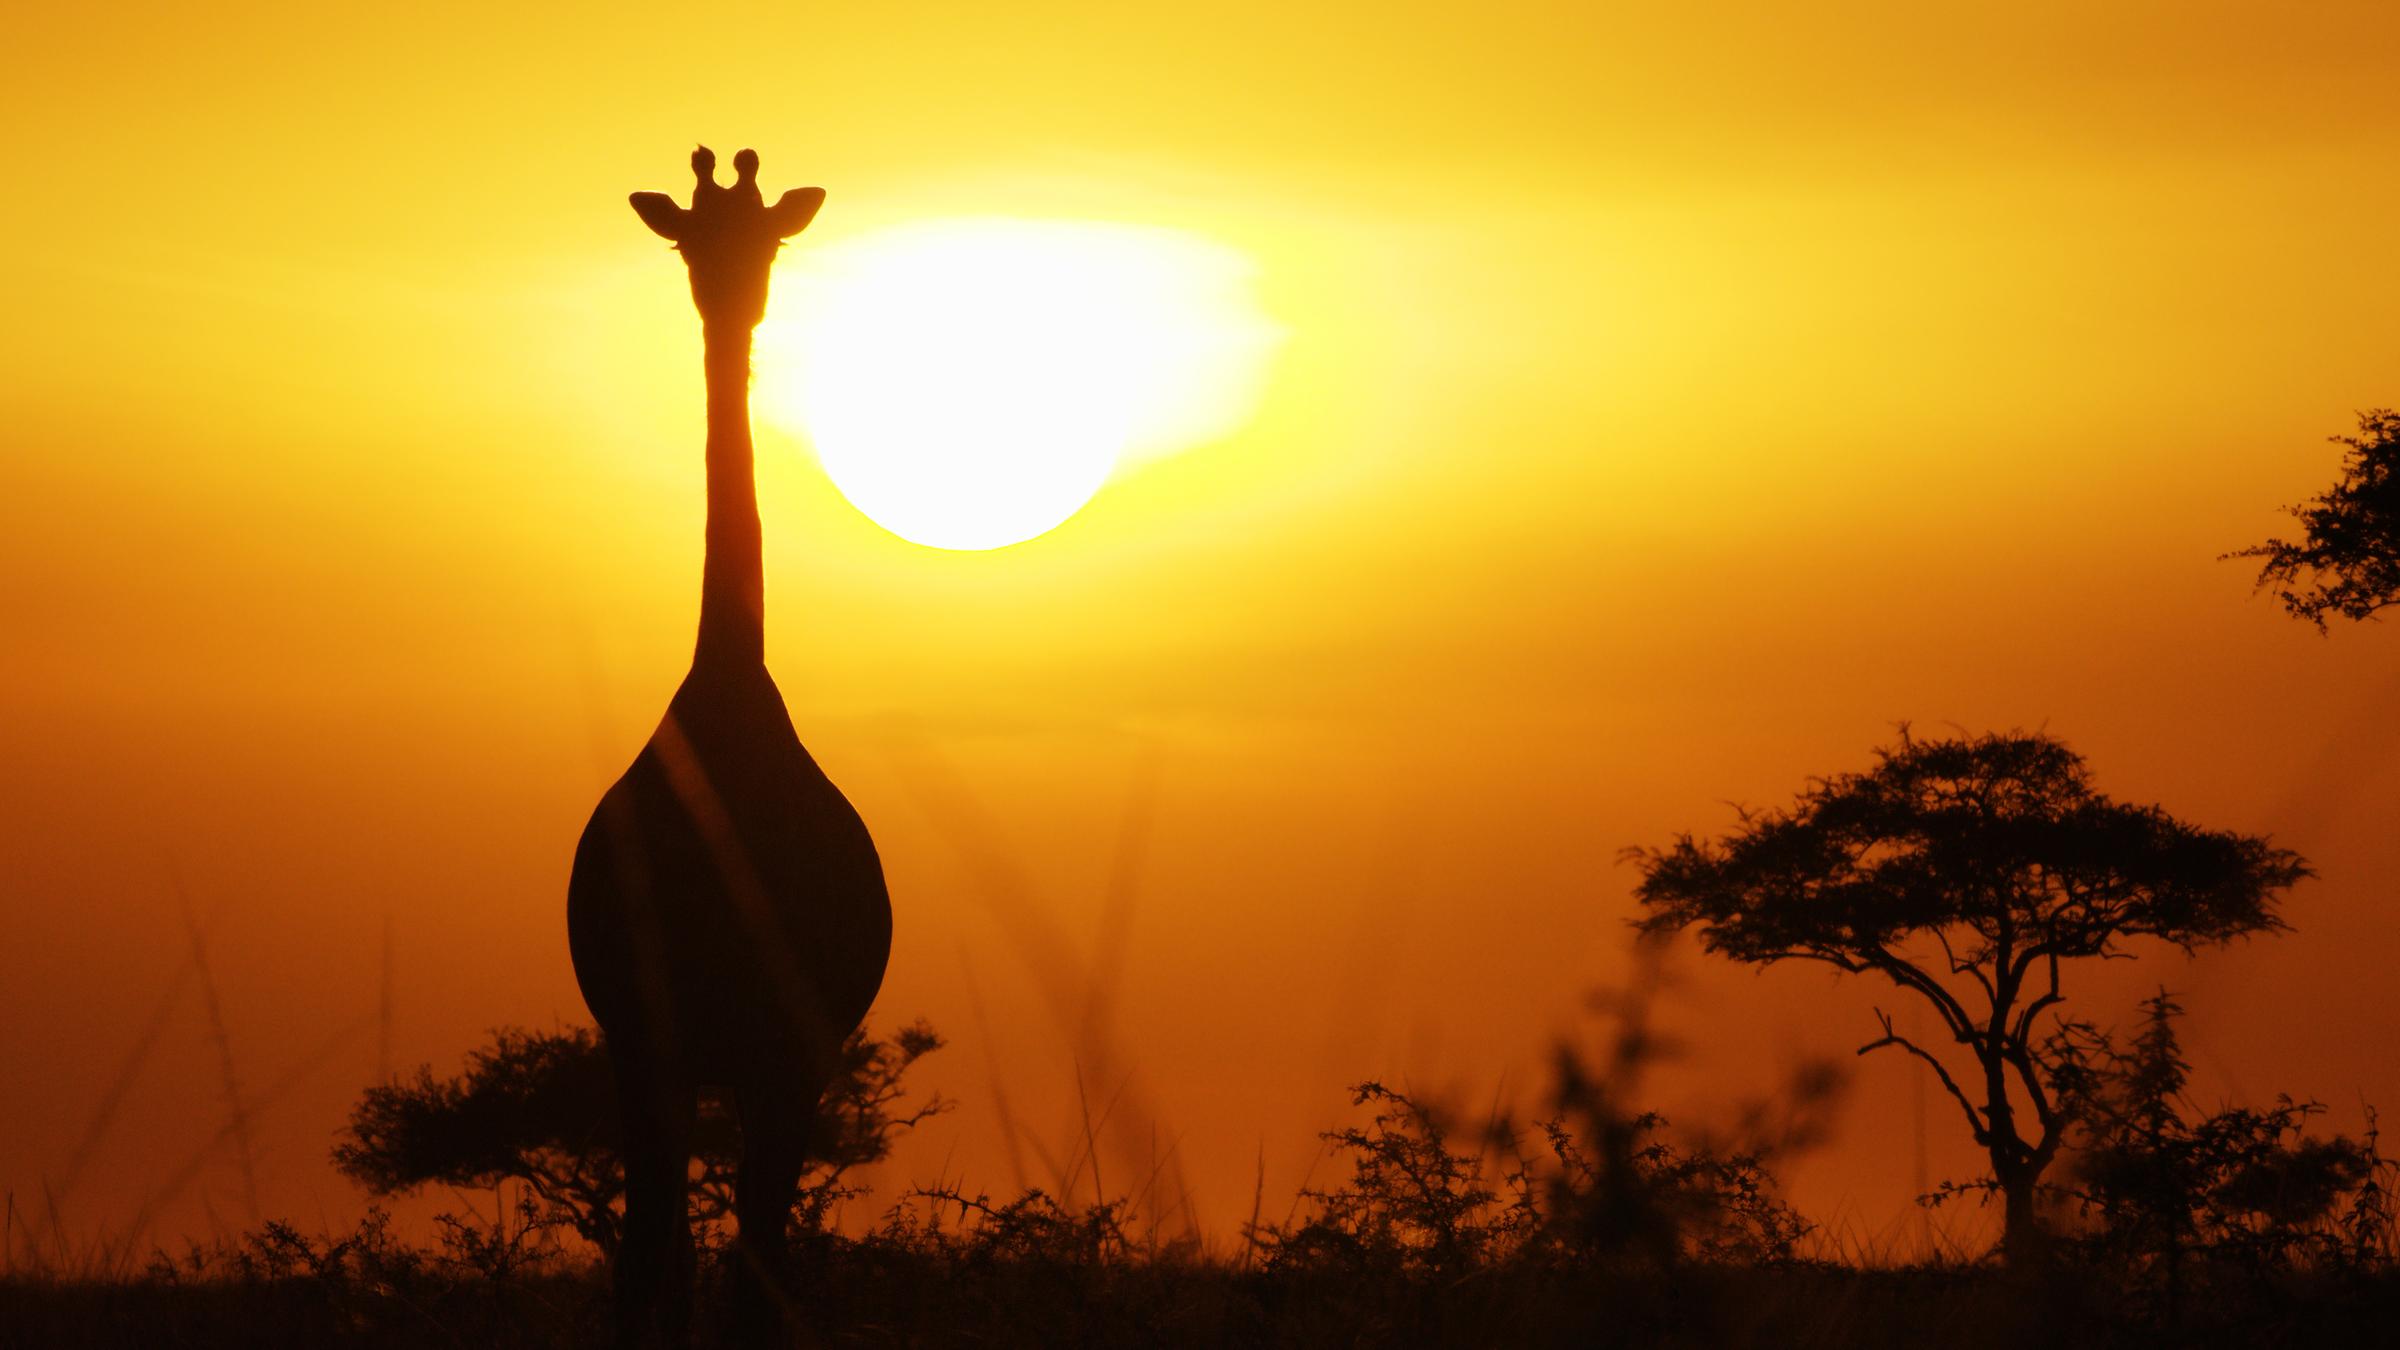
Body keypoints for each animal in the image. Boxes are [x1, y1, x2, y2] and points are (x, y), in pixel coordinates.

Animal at [567, 146, 892, 1348]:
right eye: (688, 242)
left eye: (768, 241)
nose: (733, 299)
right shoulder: (648, 1039)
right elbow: (659, 1259)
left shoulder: (788, 1054)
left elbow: (751, 1265)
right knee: (659, 1251)